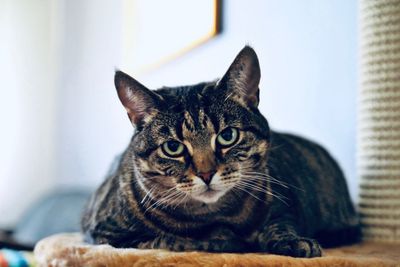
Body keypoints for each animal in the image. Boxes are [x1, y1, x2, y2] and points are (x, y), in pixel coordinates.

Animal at [81, 45, 360, 258]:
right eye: (173, 147)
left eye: (228, 136)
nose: (206, 174)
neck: (214, 214)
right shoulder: (105, 234)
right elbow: (167, 239)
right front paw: (221, 239)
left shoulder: (285, 206)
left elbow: (279, 226)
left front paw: (292, 241)